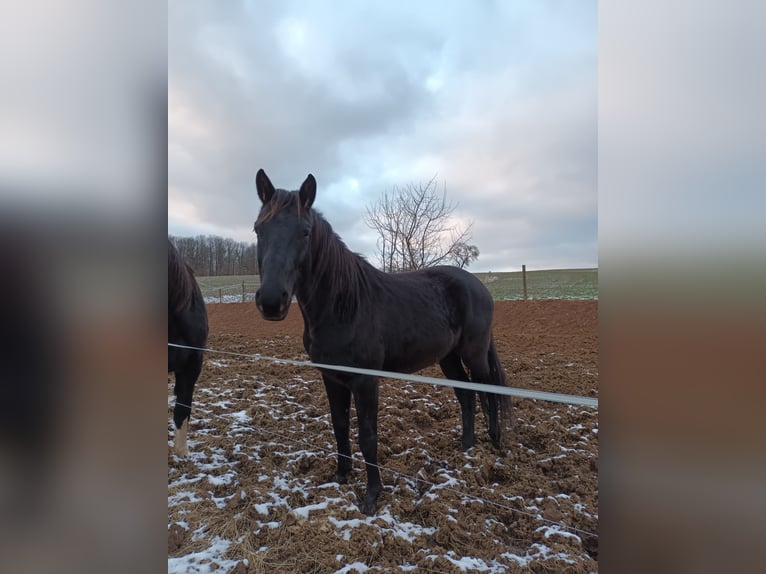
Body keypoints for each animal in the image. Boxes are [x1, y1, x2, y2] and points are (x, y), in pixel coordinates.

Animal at [255, 169, 512, 516]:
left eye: (305, 232)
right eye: (259, 229)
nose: (271, 302)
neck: (342, 306)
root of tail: (478, 285)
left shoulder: (365, 382)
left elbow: (368, 436)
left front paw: (371, 496)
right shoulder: (331, 378)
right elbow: (339, 426)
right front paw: (340, 477)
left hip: (474, 353)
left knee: (487, 392)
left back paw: (495, 443)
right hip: (448, 357)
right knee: (466, 396)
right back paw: (466, 447)